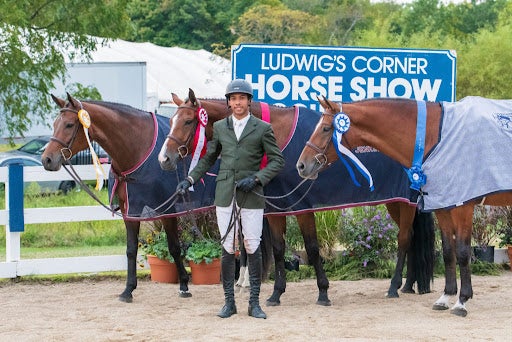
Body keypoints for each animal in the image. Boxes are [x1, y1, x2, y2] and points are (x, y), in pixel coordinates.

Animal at [39, 93, 244, 302]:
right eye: (55, 123)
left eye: (69, 124)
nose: (47, 159)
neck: (137, 148)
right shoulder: (130, 209)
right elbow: (131, 250)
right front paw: (128, 289)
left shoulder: (166, 210)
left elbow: (174, 247)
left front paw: (184, 286)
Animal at [158, 88, 434, 304]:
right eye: (171, 120)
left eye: (187, 121)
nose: (164, 159)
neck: (277, 134)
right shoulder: (276, 207)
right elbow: (279, 248)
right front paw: (276, 294)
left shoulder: (303, 206)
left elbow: (311, 248)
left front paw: (323, 292)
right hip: (395, 203)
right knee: (410, 238)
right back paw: (407, 285)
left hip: (404, 202)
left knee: (403, 239)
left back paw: (394, 286)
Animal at [296, 95, 512, 316]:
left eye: (325, 128)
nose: (301, 165)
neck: (434, 136)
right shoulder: (443, 206)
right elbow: (447, 252)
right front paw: (445, 297)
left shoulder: (463, 207)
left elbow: (462, 252)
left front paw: (462, 301)